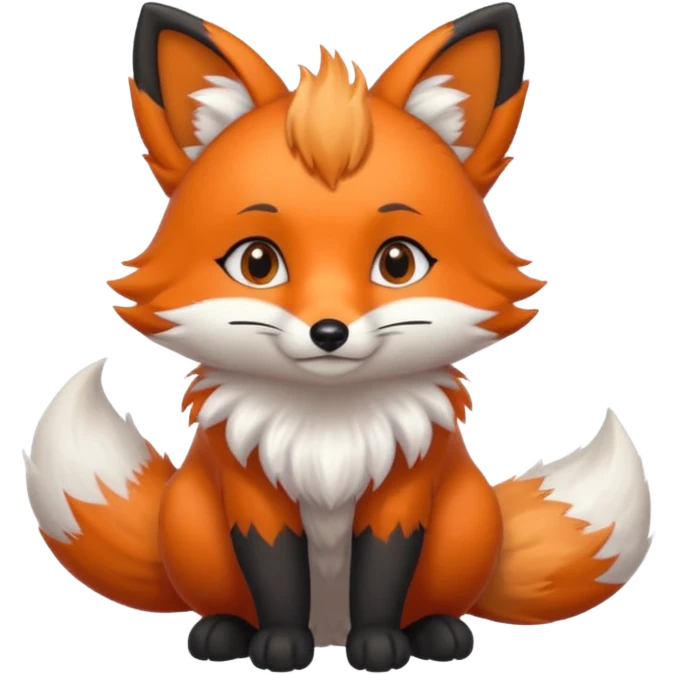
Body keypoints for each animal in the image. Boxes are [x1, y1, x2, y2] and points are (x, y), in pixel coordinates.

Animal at [22, 1, 654, 672]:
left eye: (398, 263)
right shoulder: (253, 494)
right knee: (222, 600)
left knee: (438, 599)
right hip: (188, 522)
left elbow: (382, 574)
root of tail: (329, 628)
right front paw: (279, 645)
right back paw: (224, 632)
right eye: (258, 263)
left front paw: (379, 645)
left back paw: (435, 632)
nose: (330, 332)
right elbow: (276, 575)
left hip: (469, 521)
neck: (327, 430)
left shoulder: (403, 491)